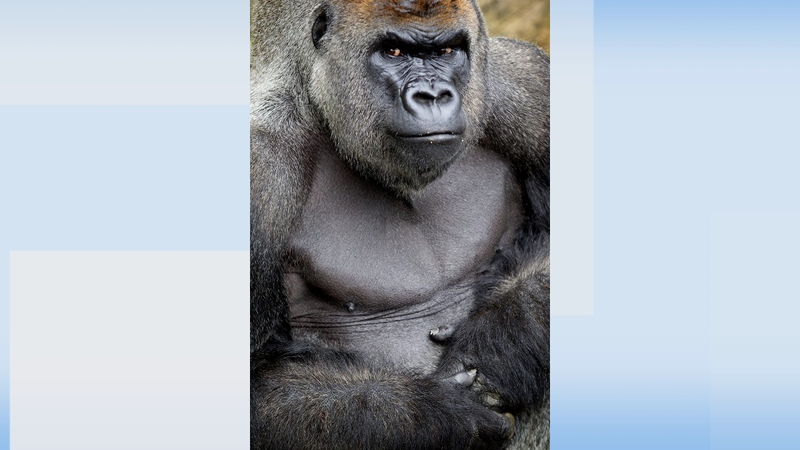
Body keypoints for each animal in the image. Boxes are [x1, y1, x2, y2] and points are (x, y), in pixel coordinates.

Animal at [250, 1, 549, 449]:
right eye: (392, 51)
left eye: (446, 51)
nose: (433, 95)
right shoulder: (261, 165)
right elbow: (260, 379)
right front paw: (443, 413)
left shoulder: (526, 84)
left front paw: (501, 341)